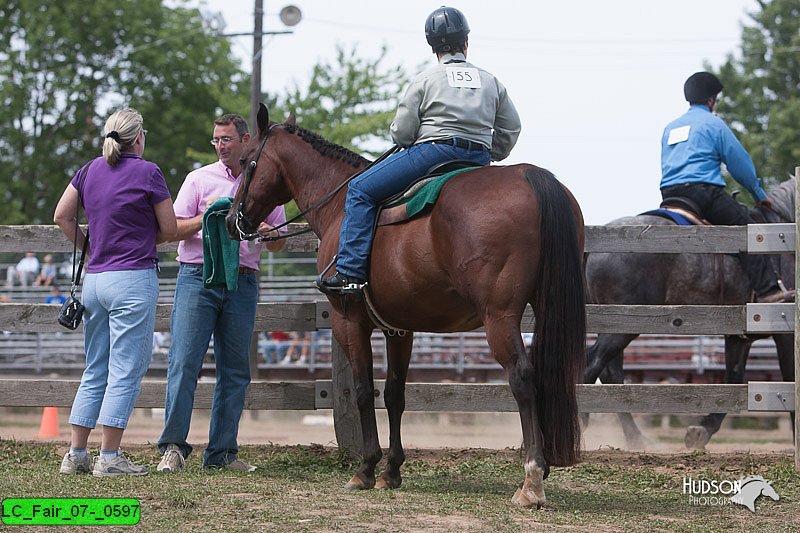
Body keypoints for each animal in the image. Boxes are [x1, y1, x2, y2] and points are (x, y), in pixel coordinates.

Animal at [228, 104, 584, 508]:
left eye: (246, 161)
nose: (231, 221)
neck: (339, 204)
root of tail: (530, 177)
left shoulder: (348, 321)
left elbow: (364, 390)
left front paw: (366, 468)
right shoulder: (400, 328)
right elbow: (395, 394)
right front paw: (391, 471)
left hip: (500, 317)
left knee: (522, 377)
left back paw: (532, 480)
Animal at [584, 178, 796, 448]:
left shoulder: (739, 338)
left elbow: (734, 377)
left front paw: (702, 431)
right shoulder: (785, 333)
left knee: (611, 373)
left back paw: (636, 438)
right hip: (623, 326)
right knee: (595, 363)